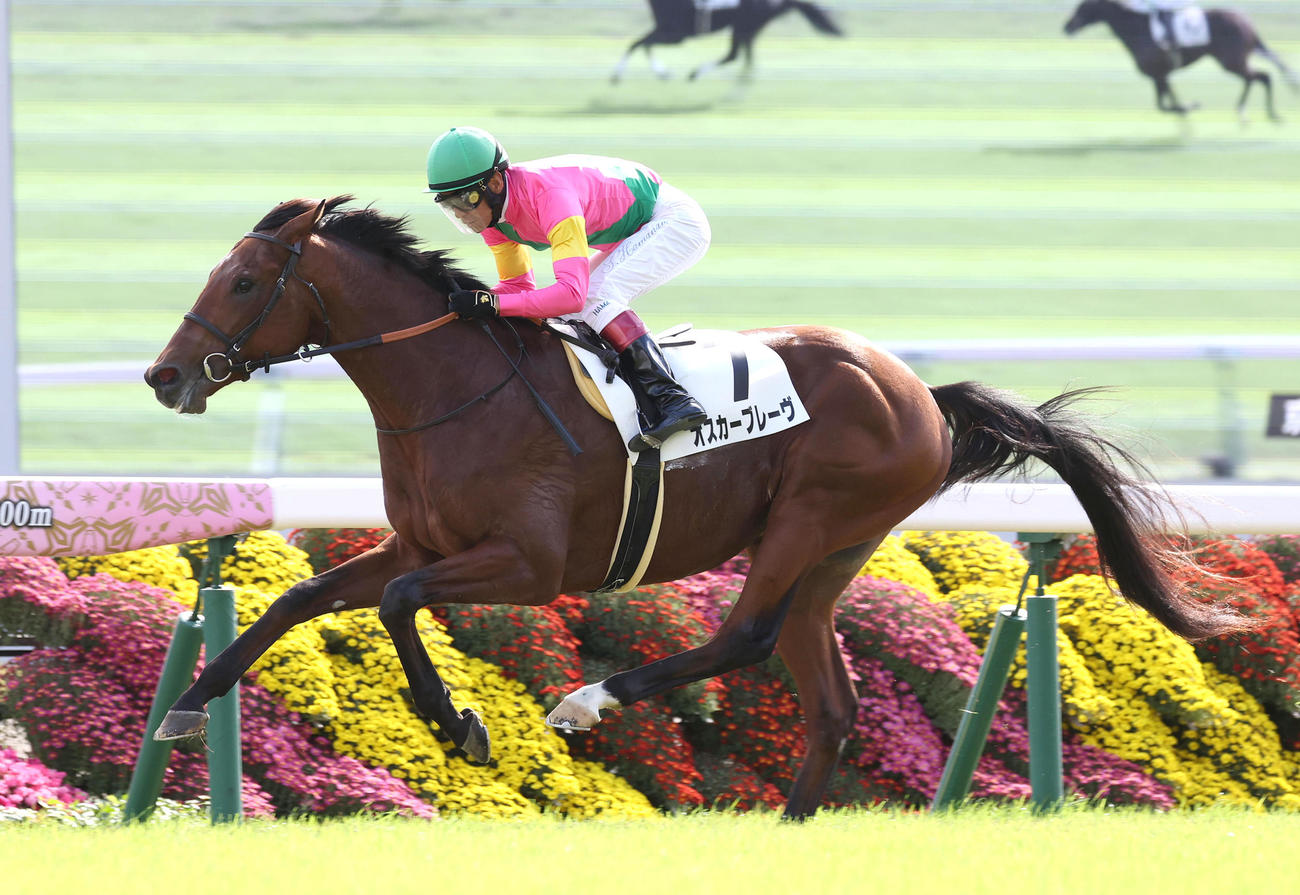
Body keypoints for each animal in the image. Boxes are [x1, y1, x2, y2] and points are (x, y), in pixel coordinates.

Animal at [144, 196, 1250, 820]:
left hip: (811, 516)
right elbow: (306, 600)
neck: (456, 385)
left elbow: (399, 601)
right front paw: (186, 705)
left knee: (745, 634)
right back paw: (788, 831)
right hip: (836, 550)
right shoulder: (421, 537)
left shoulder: (529, 562)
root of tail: (919, 393)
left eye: (243, 279)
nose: (163, 375)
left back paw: (590, 699)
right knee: (830, 702)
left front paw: (456, 720)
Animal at [612, 0, 842, 83]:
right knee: (745, 61)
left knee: (734, 56)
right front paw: (663, 73)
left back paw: (695, 74)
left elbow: (637, 44)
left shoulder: (676, 35)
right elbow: (641, 44)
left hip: (743, 27)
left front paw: (616, 76)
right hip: (747, 30)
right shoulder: (668, 32)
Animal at [1063, 0, 1298, 121]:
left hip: (1231, 61)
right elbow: (1164, 105)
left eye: (1083, 6)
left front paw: (1189, 106)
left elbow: (1168, 105)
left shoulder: (1160, 74)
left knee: (1260, 77)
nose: (1067, 26)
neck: (1138, 28)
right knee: (1258, 77)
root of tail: (1247, 22)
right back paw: (1258, 113)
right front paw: (1187, 107)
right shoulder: (1160, 76)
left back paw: (1252, 113)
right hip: (1235, 61)